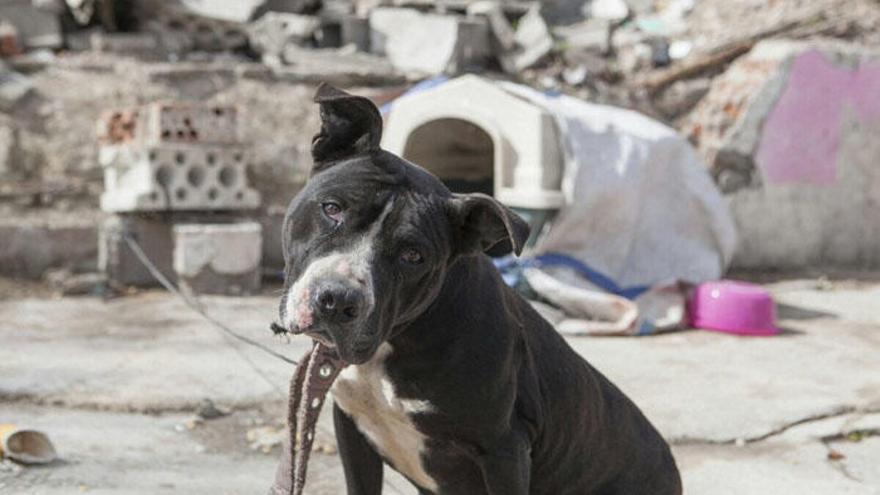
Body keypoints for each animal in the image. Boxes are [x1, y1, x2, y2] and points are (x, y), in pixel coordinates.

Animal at [276, 83, 680, 494]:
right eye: (332, 209)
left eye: (413, 255)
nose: (337, 300)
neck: (396, 340)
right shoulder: (352, 428)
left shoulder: (504, 449)